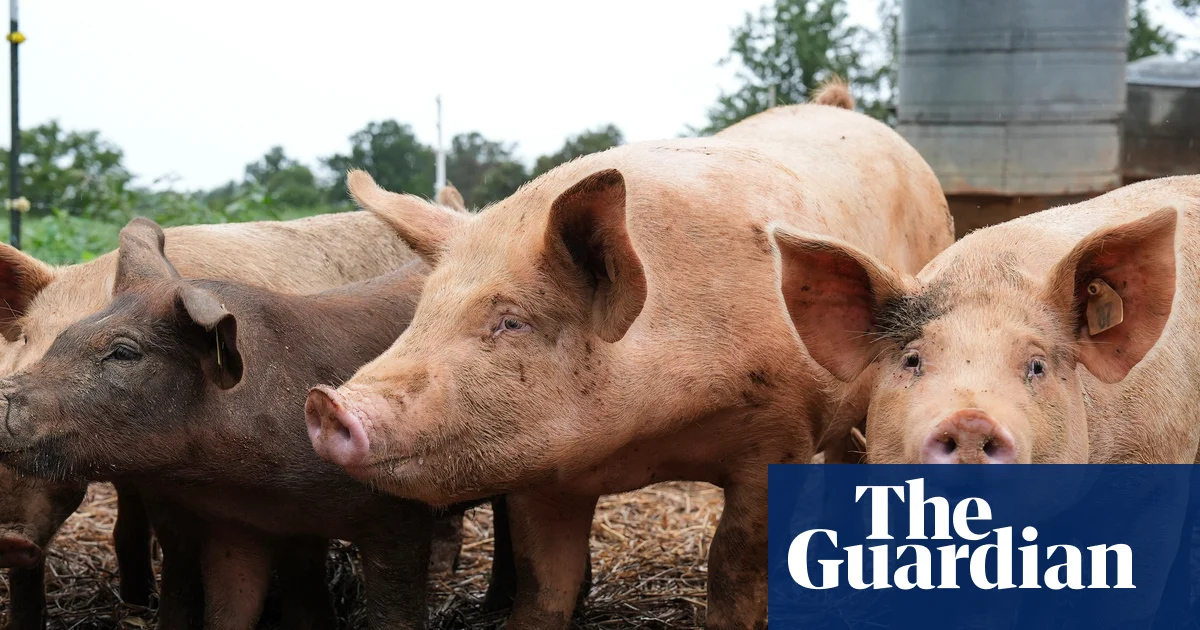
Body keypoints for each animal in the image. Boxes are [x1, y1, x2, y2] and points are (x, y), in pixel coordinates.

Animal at [305, 86, 954, 628]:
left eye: (510, 321)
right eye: (423, 310)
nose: (327, 403)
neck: (646, 440)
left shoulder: (782, 432)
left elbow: (734, 567)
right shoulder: (545, 476)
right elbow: (545, 585)